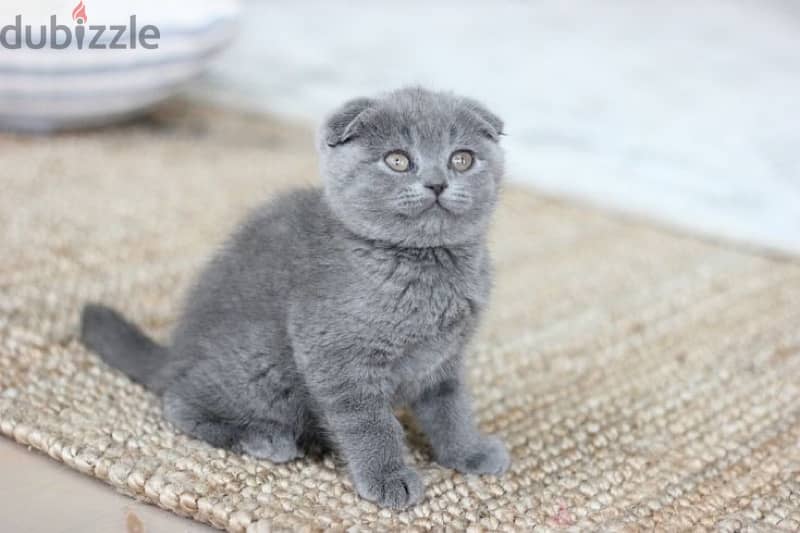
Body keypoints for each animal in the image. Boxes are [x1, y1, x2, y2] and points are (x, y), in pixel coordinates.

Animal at [79, 86, 506, 508]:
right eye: (398, 160)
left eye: (462, 159)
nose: (437, 183)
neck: (425, 268)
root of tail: (175, 354)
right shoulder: (335, 355)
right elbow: (369, 423)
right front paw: (388, 477)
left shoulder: (444, 359)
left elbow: (451, 409)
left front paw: (469, 452)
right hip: (263, 369)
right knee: (179, 400)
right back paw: (262, 437)